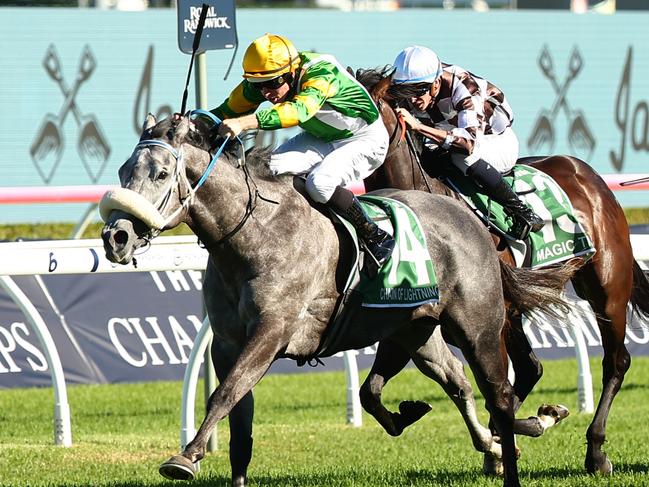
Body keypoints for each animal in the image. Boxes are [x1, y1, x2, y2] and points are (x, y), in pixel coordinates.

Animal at [100, 113, 572, 487]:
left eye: (161, 174)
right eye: (124, 171)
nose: (116, 237)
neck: (253, 235)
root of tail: (469, 218)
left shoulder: (271, 333)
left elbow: (225, 393)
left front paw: (185, 457)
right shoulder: (227, 342)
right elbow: (239, 421)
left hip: (478, 327)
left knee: (500, 394)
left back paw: (520, 436)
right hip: (412, 329)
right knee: (452, 381)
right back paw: (490, 434)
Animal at [354, 68, 648, 476]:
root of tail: (589, 175)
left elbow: (495, 391)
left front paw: (520, 433)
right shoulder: (414, 320)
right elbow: (373, 391)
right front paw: (507, 440)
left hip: (606, 289)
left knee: (615, 362)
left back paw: (595, 451)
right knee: (530, 370)